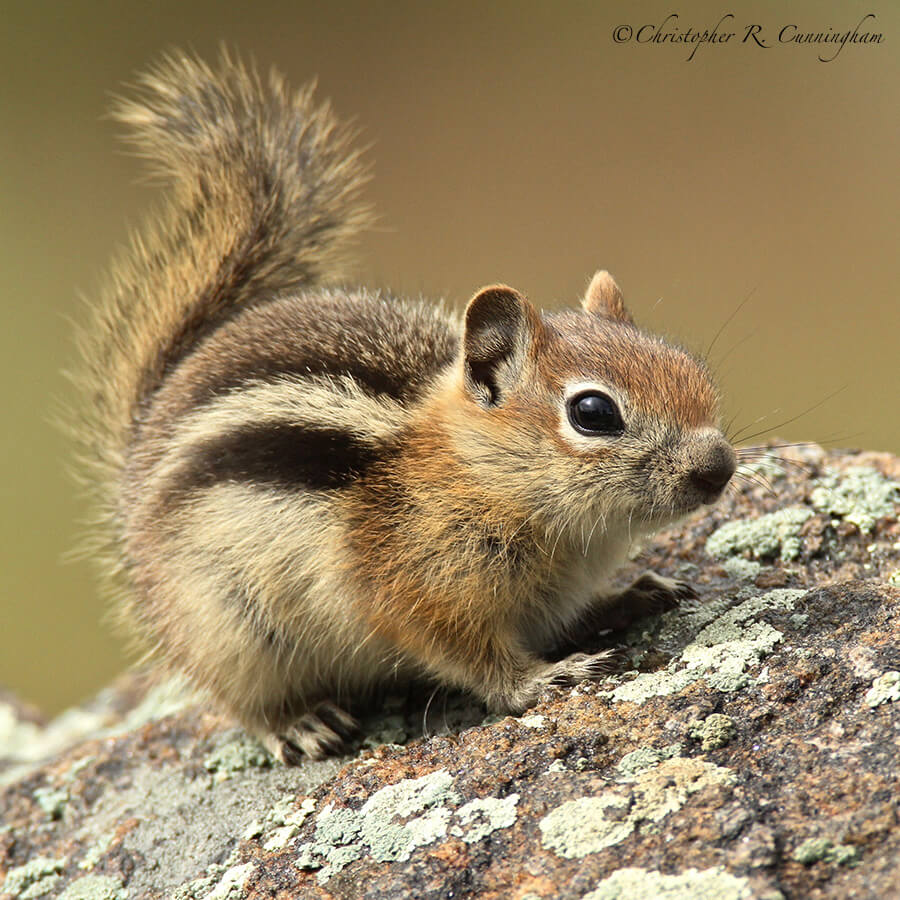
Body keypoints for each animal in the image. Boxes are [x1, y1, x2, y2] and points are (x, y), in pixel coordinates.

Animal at [74, 52, 736, 764]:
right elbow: (470, 657)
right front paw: (543, 678)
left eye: (692, 371)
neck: (474, 473)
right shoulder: (413, 587)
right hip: (224, 630)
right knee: (241, 701)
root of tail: (138, 458)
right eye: (593, 413)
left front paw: (633, 596)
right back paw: (298, 723)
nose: (720, 469)